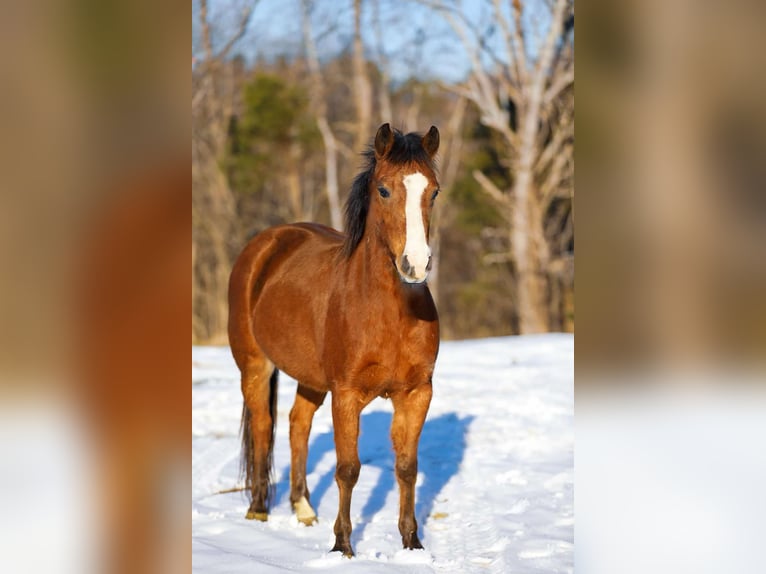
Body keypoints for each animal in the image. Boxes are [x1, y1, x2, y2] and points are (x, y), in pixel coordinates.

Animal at [228, 123, 441, 557]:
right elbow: (348, 469)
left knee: (297, 424)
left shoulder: (417, 392)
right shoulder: (346, 393)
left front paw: (412, 542)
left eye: (434, 192)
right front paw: (343, 545)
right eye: (384, 190)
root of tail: (266, 243)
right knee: (262, 426)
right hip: (254, 366)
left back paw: (304, 508)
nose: (415, 265)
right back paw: (258, 508)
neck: (389, 314)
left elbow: (407, 467)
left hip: (310, 379)